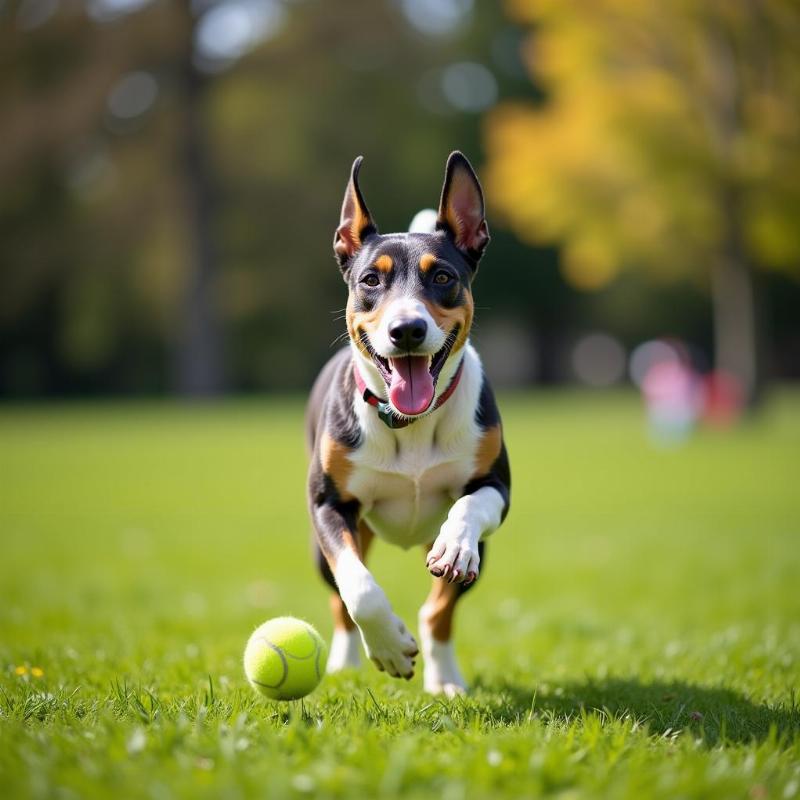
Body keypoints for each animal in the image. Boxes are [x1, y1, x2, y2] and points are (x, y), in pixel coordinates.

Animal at [306, 152, 512, 692]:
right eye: (370, 281)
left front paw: (455, 546)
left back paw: (445, 679)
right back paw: (344, 662)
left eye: (441, 277)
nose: (407, 329)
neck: (409, 424)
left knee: (440, 608)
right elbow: (357, 588)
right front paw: (390, 650)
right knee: (338, 597)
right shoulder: (329, 503)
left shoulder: (496, 485)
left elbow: (470, 512)